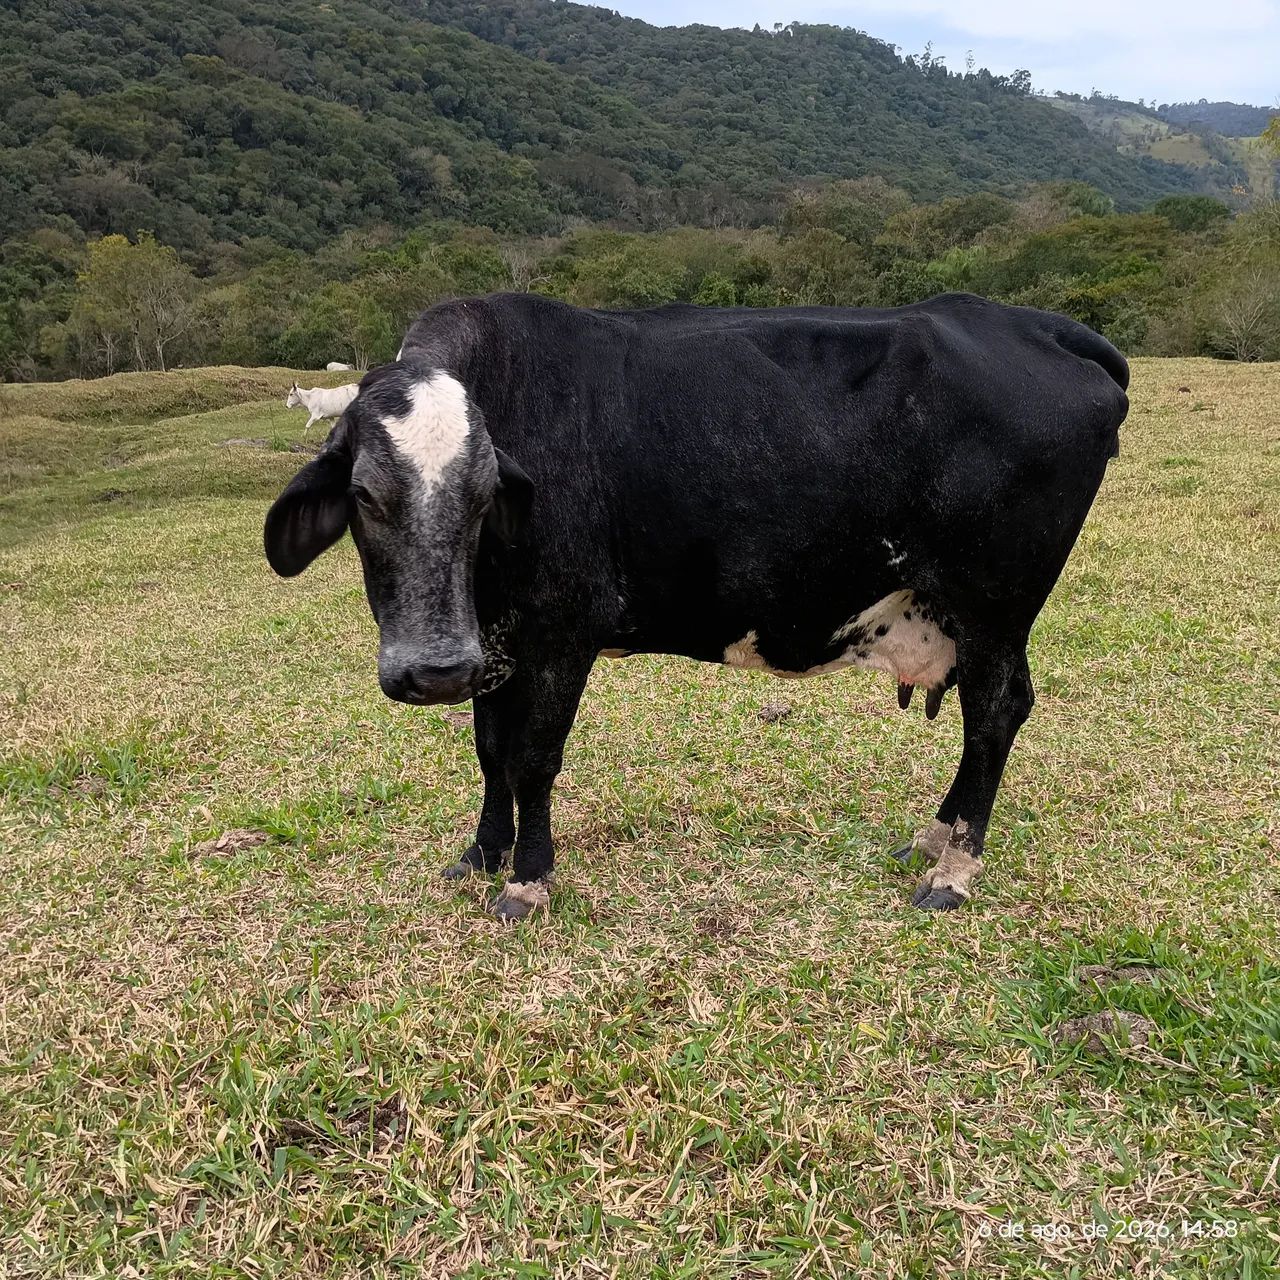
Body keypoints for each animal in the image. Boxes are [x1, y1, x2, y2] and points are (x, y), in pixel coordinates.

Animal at [264, 292, 1129, 921]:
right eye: (364, 496)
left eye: (484, 497)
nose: (434, 671)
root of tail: (1035, 325)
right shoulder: (496, 646)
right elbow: (490, 753)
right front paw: (482, 854)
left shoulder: (561, 635)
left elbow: (533, 758)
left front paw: (527, 880)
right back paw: (932, 837)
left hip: (995, 608)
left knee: (995, 715)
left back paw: (954, 871)